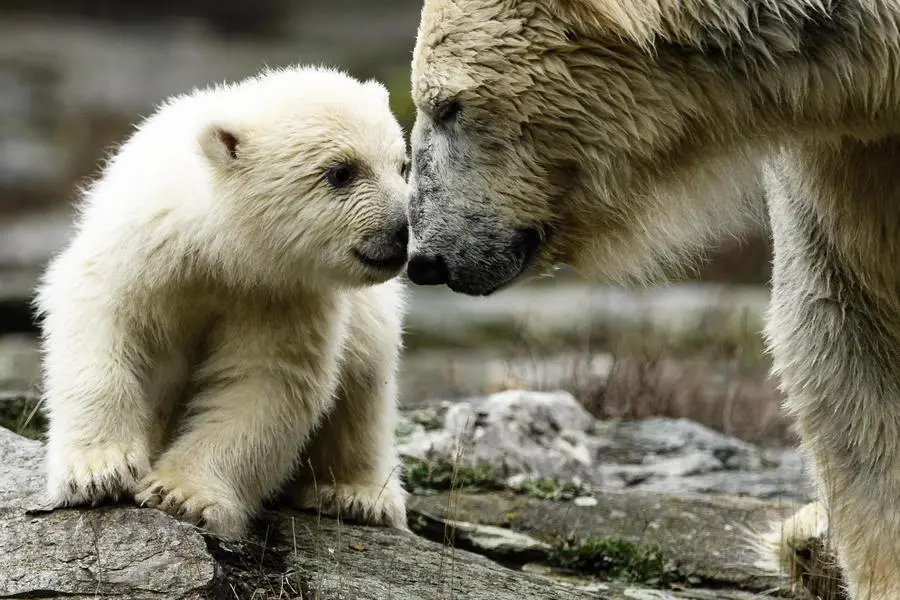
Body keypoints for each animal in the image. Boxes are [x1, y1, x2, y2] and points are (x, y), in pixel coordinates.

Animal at [33, 64, 412, 539]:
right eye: (341, 172)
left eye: (402, 164)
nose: (402, 230)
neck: (218, 246)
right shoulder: (140, 251)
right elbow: (99, 325)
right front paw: (99, 471)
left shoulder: (280, 297)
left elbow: (262, 383)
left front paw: (180, 495)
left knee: (365, 387)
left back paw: (356, 495)